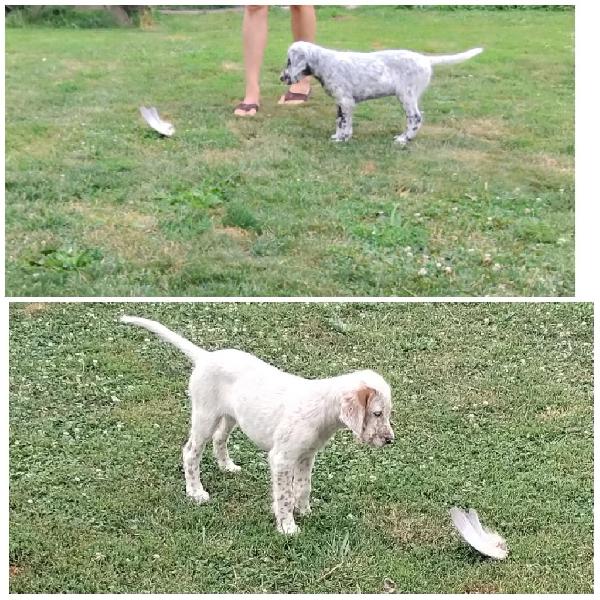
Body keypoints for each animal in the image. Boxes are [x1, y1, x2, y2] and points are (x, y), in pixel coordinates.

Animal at [121, 314, 394, 536]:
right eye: (377, 413)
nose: (390, 440)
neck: (321, 408)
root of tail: (206, 357)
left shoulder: (306, 456)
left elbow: (303, 487)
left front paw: (304, 511)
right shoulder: (282, 459)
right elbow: (284, 495)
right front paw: (287, 527)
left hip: (230, 416)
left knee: (220, 439)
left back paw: (227, 467)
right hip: (204, 416)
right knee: (190, 453)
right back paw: (195, 492)